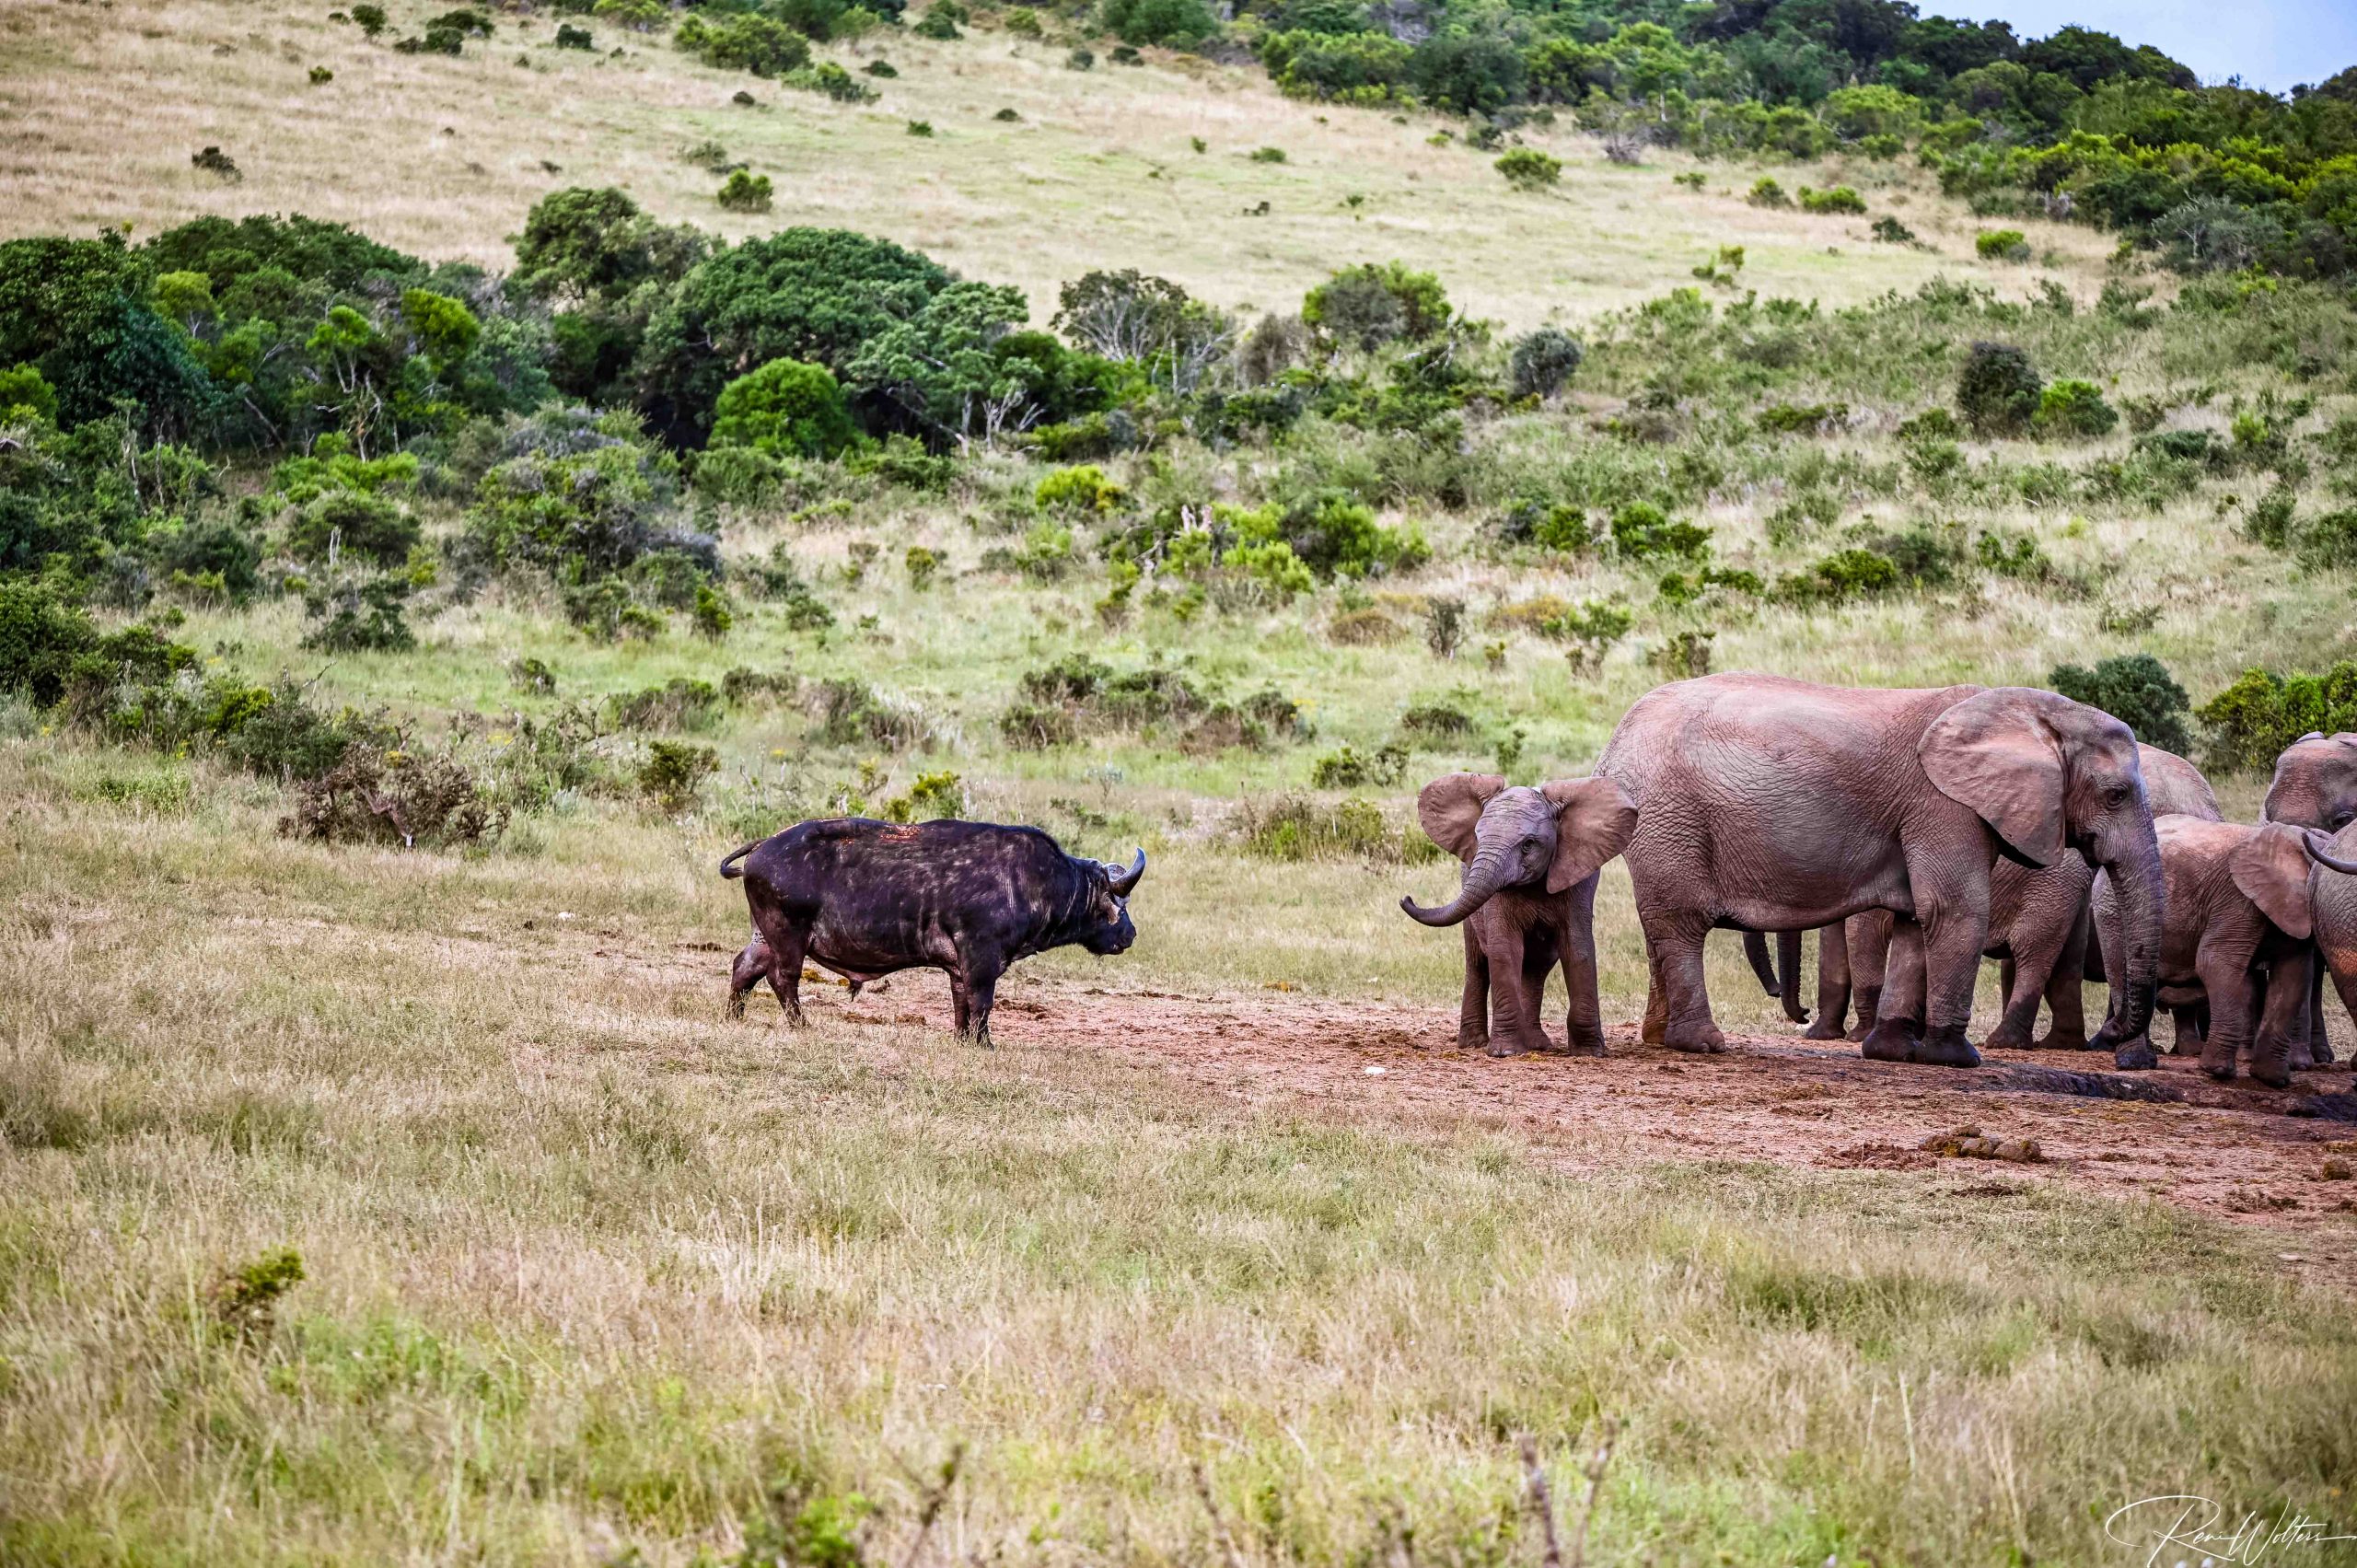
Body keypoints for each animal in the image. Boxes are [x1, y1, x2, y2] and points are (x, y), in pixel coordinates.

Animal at [1400, 772, 1638, 1057]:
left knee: (1537, 967)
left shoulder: (1579, 880)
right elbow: (1504, 949)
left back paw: (1537, 1044)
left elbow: (1577, 949)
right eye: (1477, 838)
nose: (1406, 897)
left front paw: (1590, 1052)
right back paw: (1473, 1043)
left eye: (1528, 844)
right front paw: (1506, 1052)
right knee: (1478, 964)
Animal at [1595, 675, 2164, 1069]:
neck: (2034, 713)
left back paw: (1659, 1038)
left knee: (1661, 927)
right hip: (1671, 815)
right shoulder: (1943, 805)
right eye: (2116, 795)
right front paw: (1958, 1058)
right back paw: (1703, 1044)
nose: (2116, 1042)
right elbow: (1954, 910)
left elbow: (1917, 920)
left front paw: (1894, 1052)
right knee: (1682, 923)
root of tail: (1612, 746)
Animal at [2091, 815, 2329, 1087]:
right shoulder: (2237, 900)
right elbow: (2215, 962)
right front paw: (2217, 1071)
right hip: (2112, 907)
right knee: (2121, 970)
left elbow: (2294, 975)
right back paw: (2137, 1063)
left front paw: (2273, 1078)